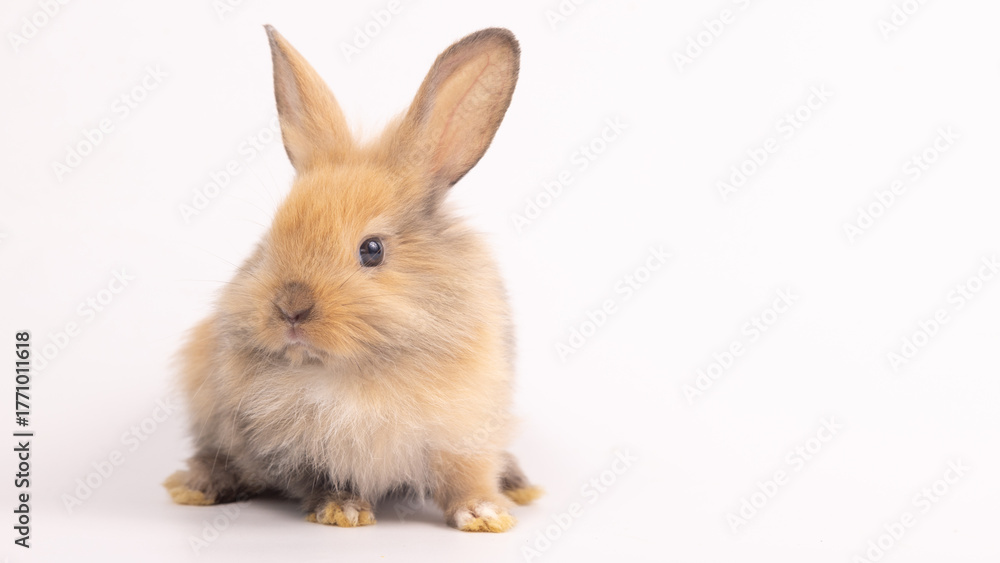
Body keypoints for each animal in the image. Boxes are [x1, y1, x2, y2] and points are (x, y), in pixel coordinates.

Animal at [163, 25, 541, 533]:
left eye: (372, 250)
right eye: (269, 239)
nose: (291, 308)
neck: (353, 372)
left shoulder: (466, 430)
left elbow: (466, 476)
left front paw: (485, 515)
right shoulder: (295, 449)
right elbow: (324, 479)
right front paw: (342, 512)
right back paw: (196, 487)